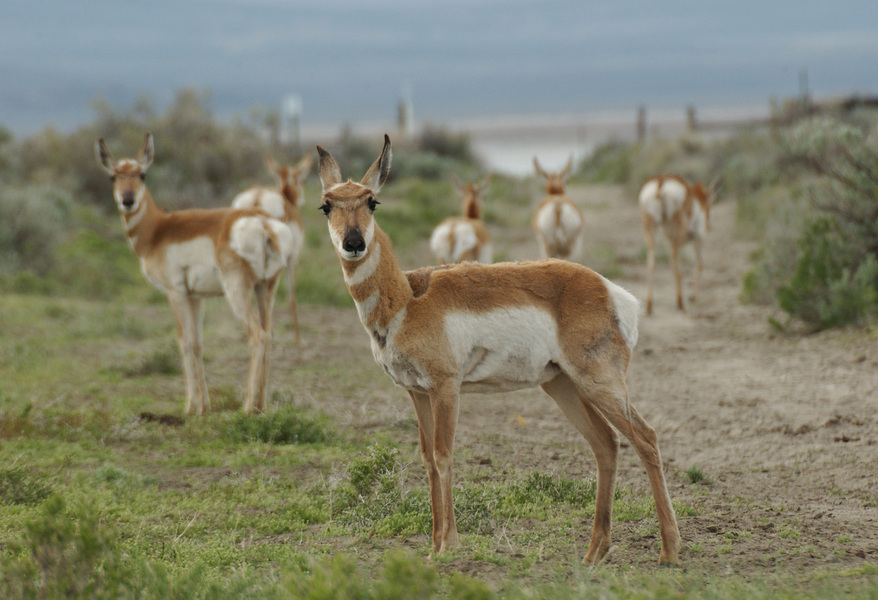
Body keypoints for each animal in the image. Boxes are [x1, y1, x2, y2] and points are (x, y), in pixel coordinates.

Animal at [97, 132, 292, 414]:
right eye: (113, 176)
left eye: (142, 174)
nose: (128, 200)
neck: (158, 229)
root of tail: (263, 222)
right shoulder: (196, 297)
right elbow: (198, 345)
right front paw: (203, 406)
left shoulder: (175, 293)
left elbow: (184, 342)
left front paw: (190, 407)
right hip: (266, 289)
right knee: (269, 335)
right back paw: (261, 407)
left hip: (237, 292)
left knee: (258, 336)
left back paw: (246, 408)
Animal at [232, 152, 314, 344]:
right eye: (302, 179)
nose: (302, 198)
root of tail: (257, 197)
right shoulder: (292, 260)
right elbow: (291, 296)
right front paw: (297, 340)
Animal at [316, 134, 680, 564]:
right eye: (326, 205)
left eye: (372, 201)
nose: (353, 243)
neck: (406, 297)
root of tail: (610, 291)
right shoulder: (417, 393)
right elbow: (427, 459)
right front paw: (433, 547)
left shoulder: (446, 389)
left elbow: (444, 455)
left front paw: (449, 545)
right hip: (562, 386)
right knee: (606, 444)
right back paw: (594, 552)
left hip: (600, 384)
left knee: (645, 437)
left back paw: (669, 550)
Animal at [640, 173, 720, 314]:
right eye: (712, 201)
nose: (709, 225)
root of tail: (661, 182)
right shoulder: (698, 238)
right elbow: (699, 264)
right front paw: (693, 297)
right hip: (675, 237)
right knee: (676, 265)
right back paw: (680, 303)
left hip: (651, 230)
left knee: (651, 263)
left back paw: (650, 306)